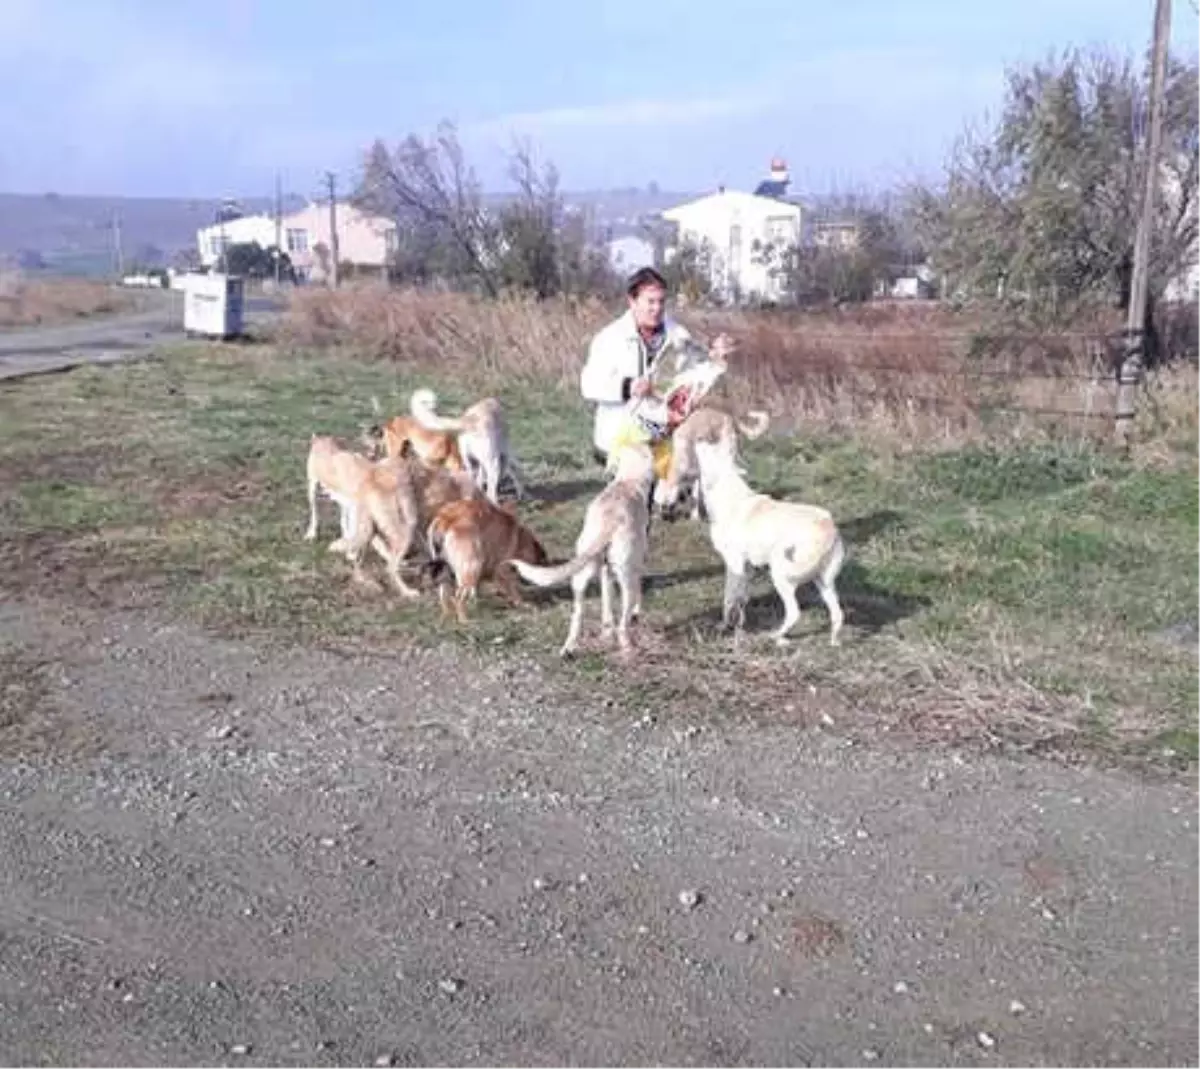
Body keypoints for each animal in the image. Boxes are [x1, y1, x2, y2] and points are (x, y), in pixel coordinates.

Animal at [508, 443, 657, 662]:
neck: (626, 482)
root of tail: (610, 519)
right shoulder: (634, 565)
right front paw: (634, 615)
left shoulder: (605, 572)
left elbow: (606, 606)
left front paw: (606, 630)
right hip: (625, 576)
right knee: (623, 622)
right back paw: (627, 646)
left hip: (581, 576)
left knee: (577, 615)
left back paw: (569, 648)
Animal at [691, 439, 849, 647]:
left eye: (710, 451)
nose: (699, 440)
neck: (729, 494)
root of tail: (827, 525)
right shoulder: (746, 568)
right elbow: (740, 599)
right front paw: (738, 624)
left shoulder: (734, 564)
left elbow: (729, 598)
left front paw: (726, 626)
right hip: (824, 583)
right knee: (838, 614)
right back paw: (833, 642)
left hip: (781, 577)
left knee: (794, 613)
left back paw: (776, 637)